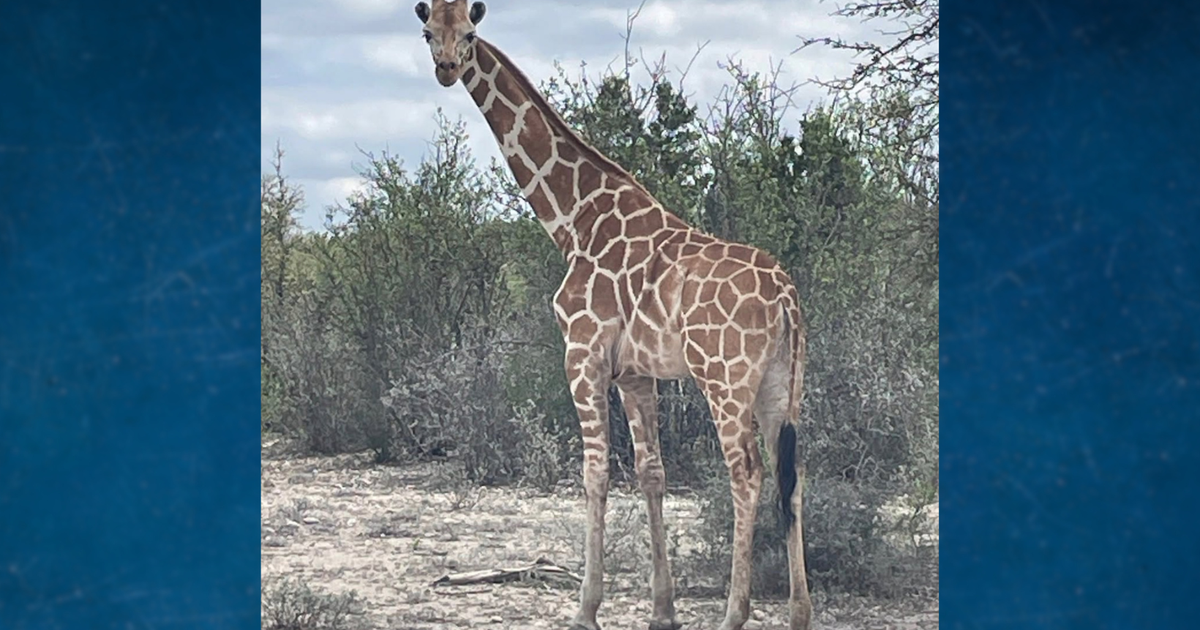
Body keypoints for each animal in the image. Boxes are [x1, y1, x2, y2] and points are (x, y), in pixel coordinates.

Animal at [414, 2, 812, 629]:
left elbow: (595, 471)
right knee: (790, 476)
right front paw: (662, 611)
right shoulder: (635, 372)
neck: (573, 220)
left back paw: (733, 613)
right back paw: (800, 612)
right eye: (429, 31)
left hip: (724, 379)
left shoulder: (582, 353)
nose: (447, 69)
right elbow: (652, 474)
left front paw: (586, 609)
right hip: (781, 383)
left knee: (746, 473)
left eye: (471, 34)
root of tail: (786, 297)